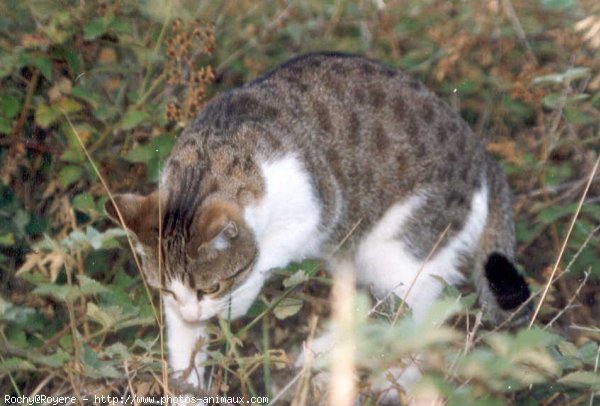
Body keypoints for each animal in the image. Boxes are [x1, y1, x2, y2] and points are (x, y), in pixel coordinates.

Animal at [105, 50, 532, 400]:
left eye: (212, 287)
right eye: (166, 289)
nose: (195, 313)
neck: (208, 163)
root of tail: (484, 158)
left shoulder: (319, 207)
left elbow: (266, 254)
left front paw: (237, 300)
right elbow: (183, 350)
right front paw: (185, 382)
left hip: (397, 251)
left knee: (417, 319)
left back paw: (383, 379)